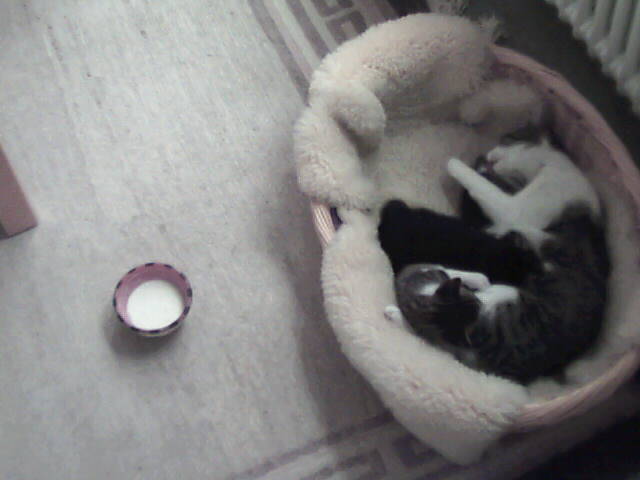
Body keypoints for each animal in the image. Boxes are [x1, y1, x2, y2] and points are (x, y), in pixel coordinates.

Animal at [380, 133, 609, 383]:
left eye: (506, 141)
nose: (487, 155)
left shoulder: (516, 207)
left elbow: (482, 187)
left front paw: (456, 163)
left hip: (497, 298)